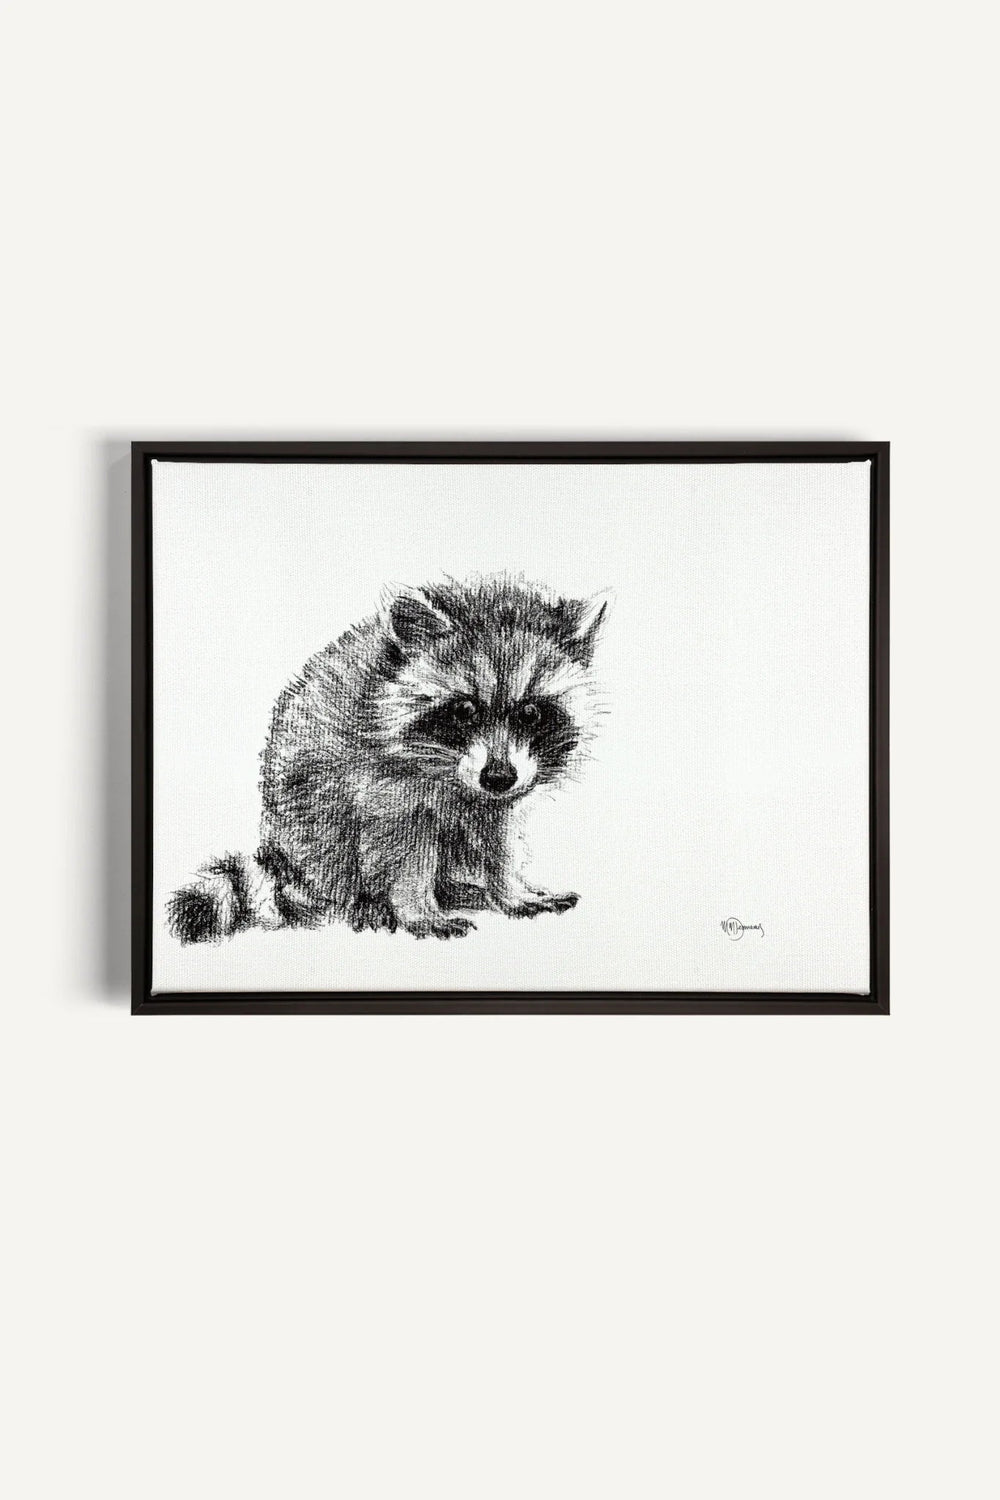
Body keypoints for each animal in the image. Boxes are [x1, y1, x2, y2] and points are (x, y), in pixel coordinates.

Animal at [167, 576, 607, 943]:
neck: (454, 773)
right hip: (304, 819)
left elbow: (499, 836)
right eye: (464, 709)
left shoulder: (503, 789)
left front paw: (511, 888)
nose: (498, 777)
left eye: (531, 713)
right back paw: (365, 900)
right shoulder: (380, 781)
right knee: (330, 841)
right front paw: (417, 908)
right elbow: (404, 847)